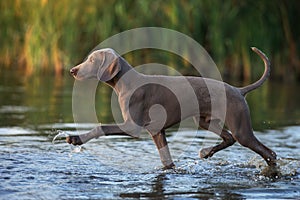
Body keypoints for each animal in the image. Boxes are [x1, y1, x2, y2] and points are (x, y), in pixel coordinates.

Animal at [67, 47, 276, 169]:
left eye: (92, 60)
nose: (72, 71)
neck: (126, 82)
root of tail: (239, 90)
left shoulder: (132, 126)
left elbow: (101, 127)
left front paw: (76, 138)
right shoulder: (157, 131)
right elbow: (167, 161)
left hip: (241, 128)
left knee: (268, 153)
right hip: (204, 121)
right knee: (230, 138)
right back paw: (206, 152)